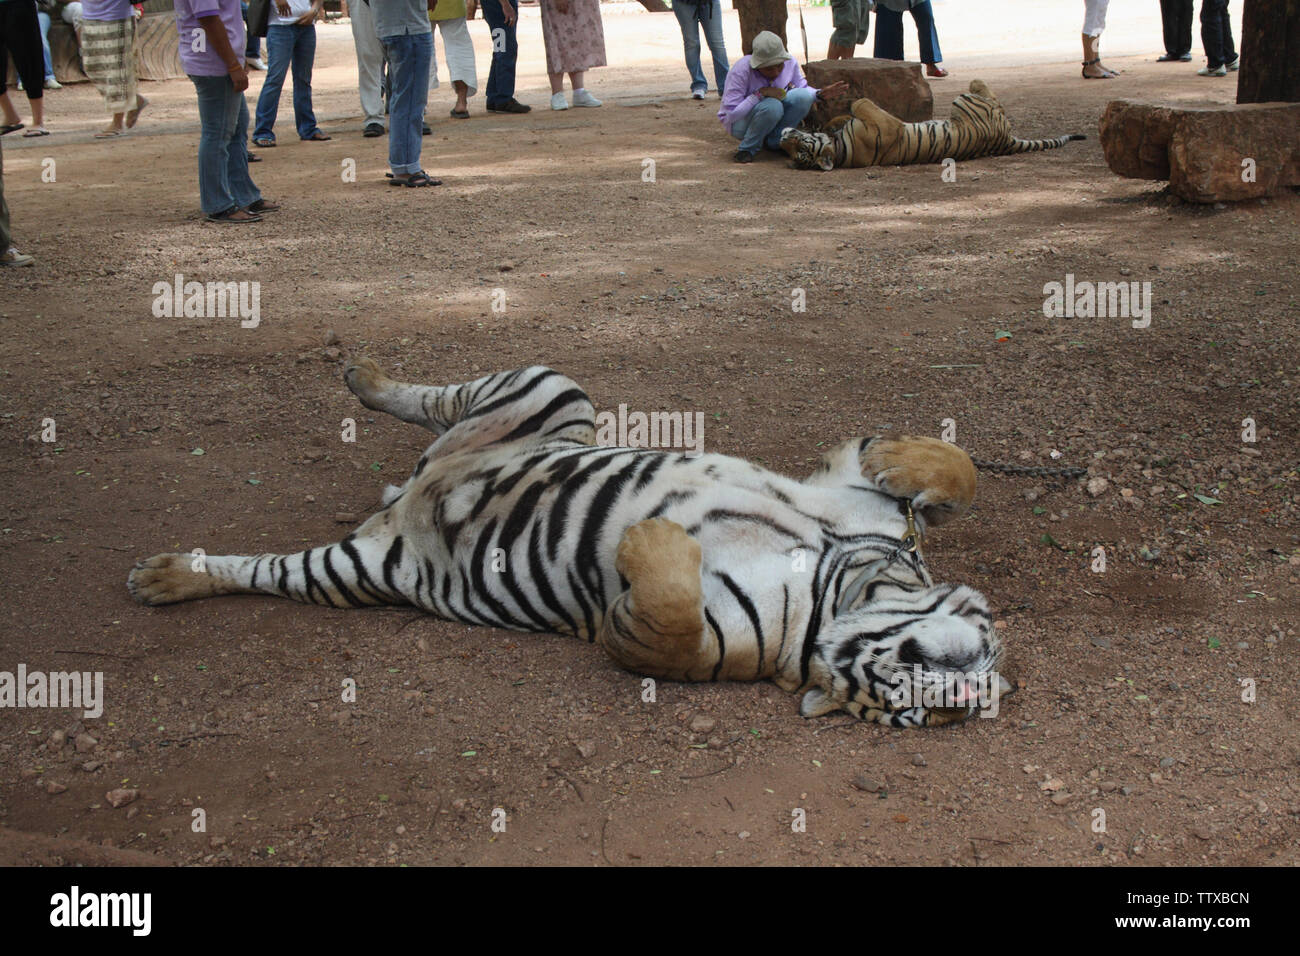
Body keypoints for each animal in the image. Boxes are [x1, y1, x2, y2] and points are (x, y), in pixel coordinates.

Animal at [126, 361, 1003, 728]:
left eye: (910, 720)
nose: (968, 697)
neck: (841, 575)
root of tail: (408, 493)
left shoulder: (680, 643)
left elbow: (669, 611)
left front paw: (648, 537)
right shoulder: (844, 484)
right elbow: (954, 467)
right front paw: (908, 464)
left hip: (350, 570)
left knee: (265, 568)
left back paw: (166, 576)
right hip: (552, 389)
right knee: (430, 399)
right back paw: (360, 376)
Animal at [780, 78, 1086, 171]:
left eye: (797, 149)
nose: (782, 138)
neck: (840, 150)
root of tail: (1006, 141)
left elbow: (848, 113)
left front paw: (832, 117)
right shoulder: (886, 122)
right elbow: (861, 103)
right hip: (965, 102)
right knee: (989, 95)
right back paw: (979, 84)